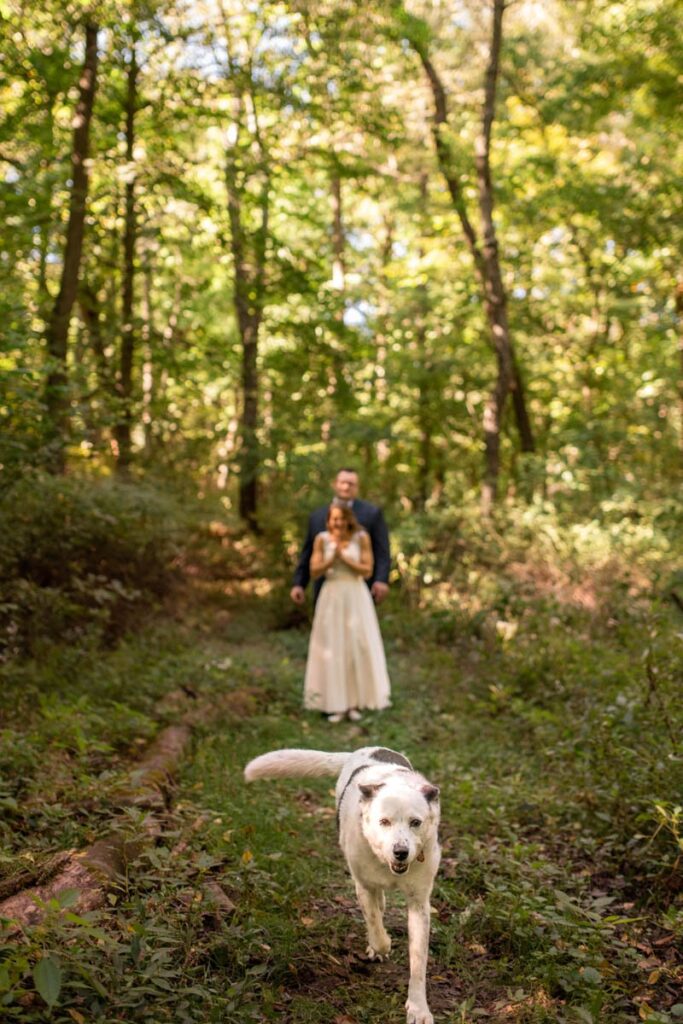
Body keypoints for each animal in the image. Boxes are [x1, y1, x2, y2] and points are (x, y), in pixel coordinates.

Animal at [245, 745, 444, 1024]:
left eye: (415, 822)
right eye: (384, 822)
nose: (401, 852)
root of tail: (365, 750)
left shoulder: (419, 904)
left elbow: (418, 961)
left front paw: (418, 1009)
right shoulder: (363, 886)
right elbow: (376, 929)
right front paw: (381, 945)